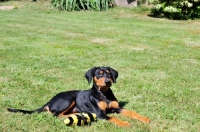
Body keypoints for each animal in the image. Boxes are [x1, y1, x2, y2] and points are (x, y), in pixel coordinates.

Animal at [7, 66, 150, 126]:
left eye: (109, 74)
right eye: (99, 74)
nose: (107, 82)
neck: (104, 93)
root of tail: (49, 101)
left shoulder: (116, 108)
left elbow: (131, 112)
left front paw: (145, 119)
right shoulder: (100, 113)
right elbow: (112, 118)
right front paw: (125, 123)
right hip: (69, 98)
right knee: (55, 114)